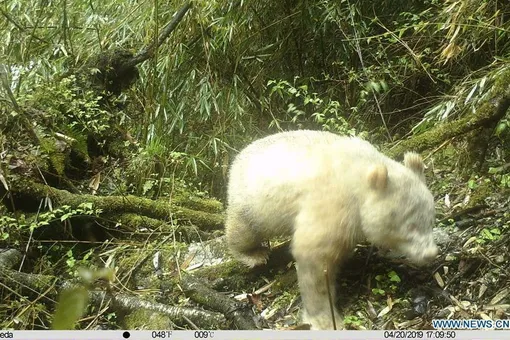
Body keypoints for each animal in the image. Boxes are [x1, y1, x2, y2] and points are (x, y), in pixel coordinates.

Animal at [224, 130, 438, 330]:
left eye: (430, 220)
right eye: (410, 226)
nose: (431, 253)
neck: (360, 175)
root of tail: (237, 158)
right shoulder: (334, 203)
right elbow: (314, 256)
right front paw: (324, 319)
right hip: (252, 202)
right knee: (243, 230)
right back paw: (254, 254)